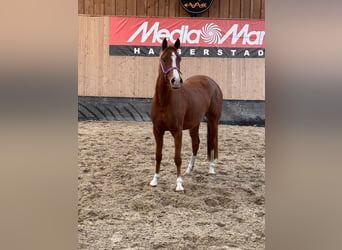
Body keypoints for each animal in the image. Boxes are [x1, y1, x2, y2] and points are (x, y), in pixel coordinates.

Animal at [149, 38, 223, 192]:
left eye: (179, 59)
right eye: (164, 59)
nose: (176, 81)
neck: (164, 101)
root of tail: (212, 82)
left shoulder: (177, 132)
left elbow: (177, 157)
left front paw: (179, 184)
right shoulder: (157, 131)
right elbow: (158, 155)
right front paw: (155, 180)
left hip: (213, 120)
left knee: (213, 141)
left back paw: (211, 168)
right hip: (194, 124)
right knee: (196, 143)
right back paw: (189, 169)